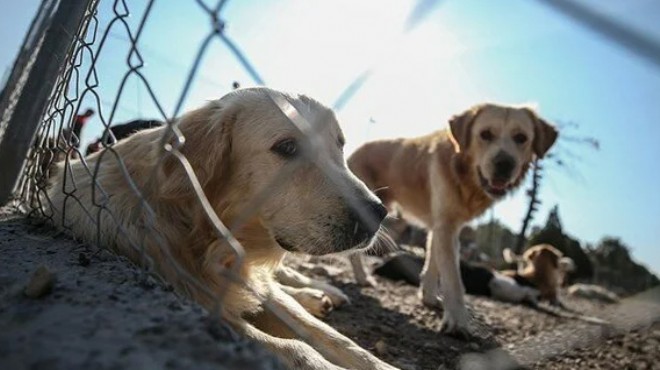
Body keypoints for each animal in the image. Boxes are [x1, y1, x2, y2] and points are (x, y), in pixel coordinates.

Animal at [47, 87, 398, 370]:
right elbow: (297, 349)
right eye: (287, 147)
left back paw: (320, 292)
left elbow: (336, 339)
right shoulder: (195, 300)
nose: (377, 214)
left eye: (340, 145)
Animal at [348, 104, 560, 336]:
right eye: (485, 134)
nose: (504, 165)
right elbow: (453, 277)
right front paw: (458, 320)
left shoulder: (441, 225)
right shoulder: (446, 227)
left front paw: (430, 298)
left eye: (521, 138)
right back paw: (362, 277)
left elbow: (433, 264)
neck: (463, 173)